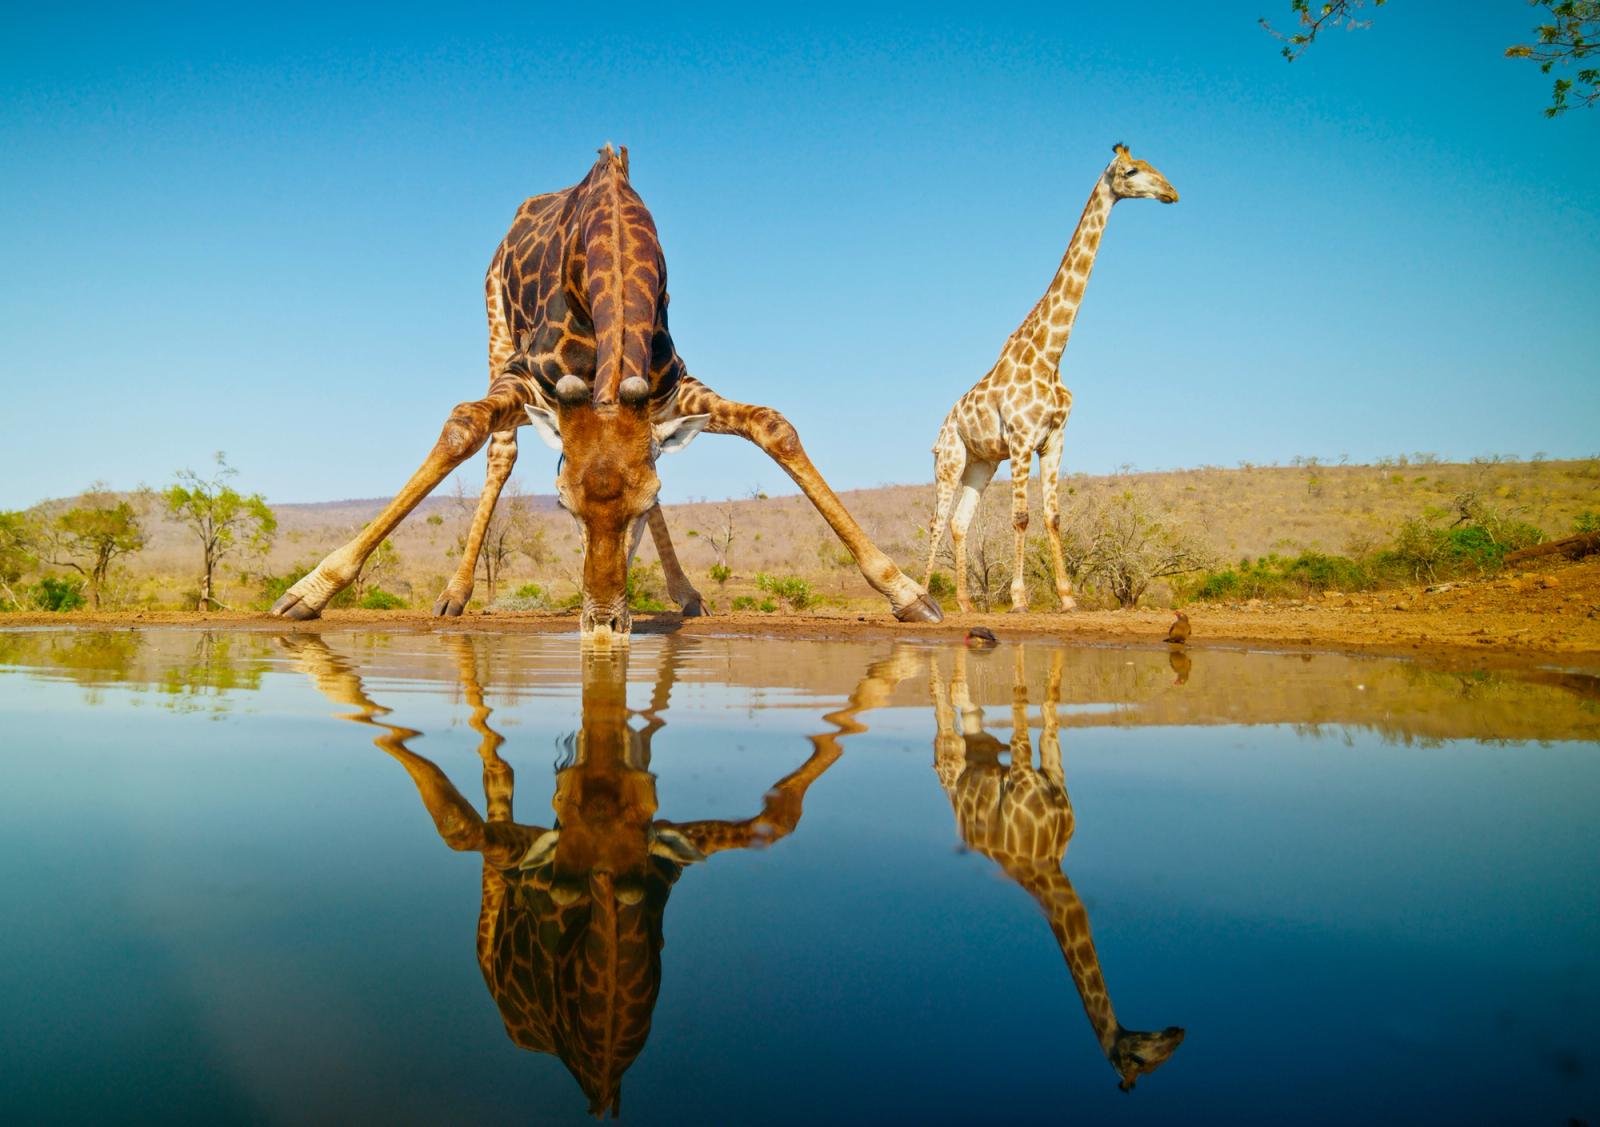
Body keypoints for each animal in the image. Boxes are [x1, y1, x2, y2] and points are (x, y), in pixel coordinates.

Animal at [269, 144, 940, 641]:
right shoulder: (525, 374)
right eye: (561, 505)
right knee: (500, 448)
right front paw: (307, 591)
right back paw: (454, 596)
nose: (601, 625)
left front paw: (908, 594)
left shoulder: (672, 389)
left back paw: (686, 595)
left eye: (645, 504)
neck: (613, 239)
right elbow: (462, 427)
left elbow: (773, 426)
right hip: (493, 327)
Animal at [279, 632, 843, 1118]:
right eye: (563, 807)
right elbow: (458, 824)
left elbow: (780, 817)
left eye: (644, 809)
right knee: (495, 782)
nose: (591, 773)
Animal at [923, 144, 1179, 613]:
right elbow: (1021, 517)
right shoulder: (1023, 440)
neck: (1050, 353)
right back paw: (923, 593)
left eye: (1153, 166)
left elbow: (1053, 516)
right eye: (1132, 171)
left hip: (982, 463)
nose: (1171, 192)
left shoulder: (1055, 439)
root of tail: (943, 426)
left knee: (960, 522)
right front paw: (1020, 599)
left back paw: (965, 603)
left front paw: (1067, 596)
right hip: (949, 460)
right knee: (936, 520)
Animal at [931, 644, 1186, 1091]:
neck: (1048, 863)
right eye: (1142, 1058)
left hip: (980, 744)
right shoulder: (1021, 768)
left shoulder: (1052, 765)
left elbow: (1050, 710)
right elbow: (1021, 705)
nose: (1179, 1032)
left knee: (966, 705)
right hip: (952, 758)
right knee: (944, 721)